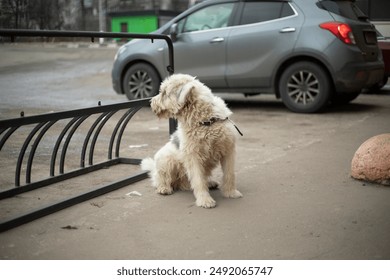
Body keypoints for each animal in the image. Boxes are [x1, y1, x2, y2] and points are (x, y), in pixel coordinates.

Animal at [140, 74, 242, 208]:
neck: (205, 121)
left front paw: (231, 193)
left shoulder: (228, 150)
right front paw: (205, 200)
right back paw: (164, 188)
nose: (151, 102)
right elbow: (198, 180)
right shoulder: (193, 156)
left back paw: (209, 183)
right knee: (161, 178)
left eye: (164, 93)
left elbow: (229, 174)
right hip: (166, 159)